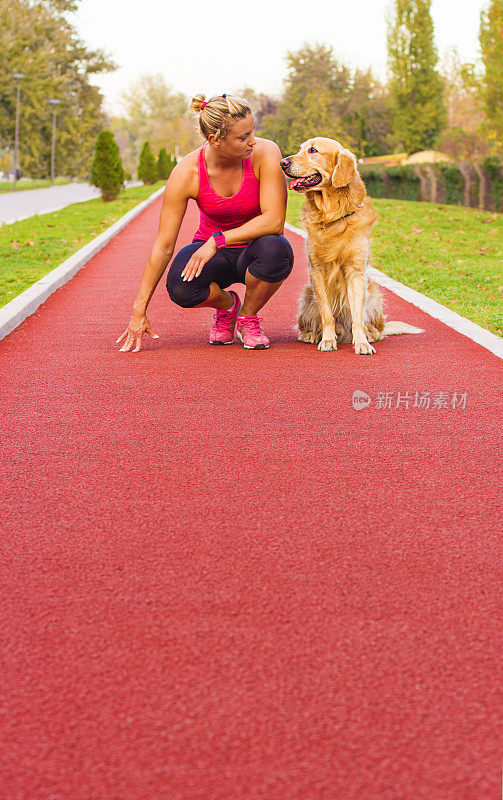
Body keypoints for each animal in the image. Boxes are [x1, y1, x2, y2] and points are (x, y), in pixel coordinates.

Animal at [282, 138, 424, 354]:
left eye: (313, 150)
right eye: (300, 149)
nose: (283, 162)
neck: (332, 216)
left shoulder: (355, 272)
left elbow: (357, 317)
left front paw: (362, 343)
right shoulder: (317, 271)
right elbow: (327, 314)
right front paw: (327, 340)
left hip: (373, 296)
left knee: (377, 328)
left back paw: (369, 335)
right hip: (307, 297)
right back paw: (312, 335)